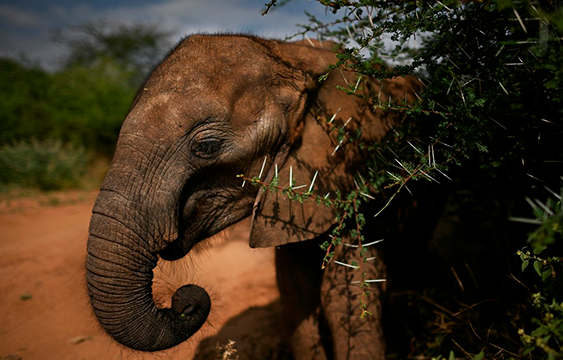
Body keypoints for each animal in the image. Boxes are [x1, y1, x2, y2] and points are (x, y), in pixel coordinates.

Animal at [83, 34, 418, 360]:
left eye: (207, 147)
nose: (185, 302)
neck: (289, 55)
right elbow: (295, 292)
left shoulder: (353, 172)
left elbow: (347, 291)